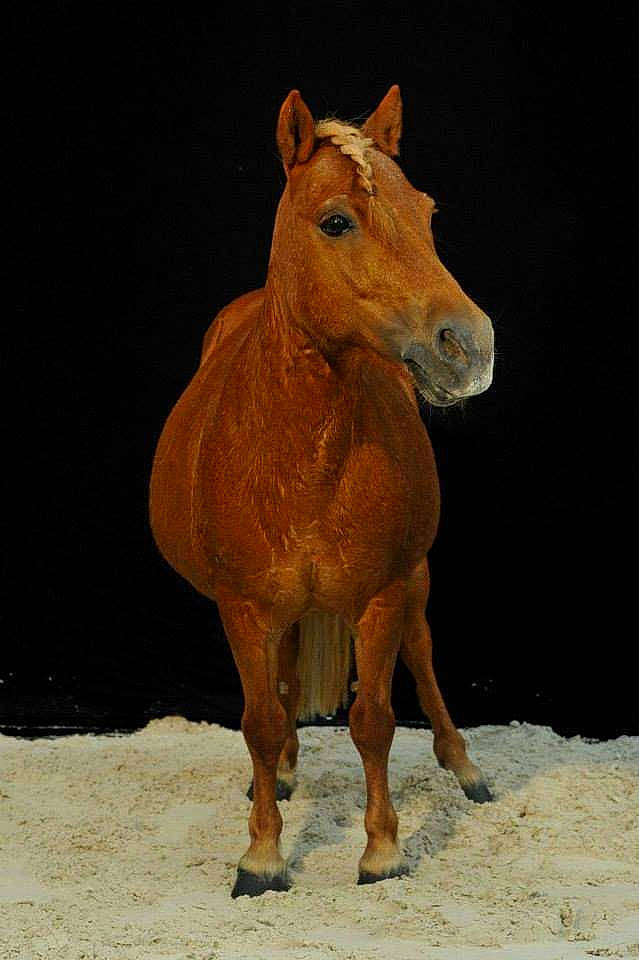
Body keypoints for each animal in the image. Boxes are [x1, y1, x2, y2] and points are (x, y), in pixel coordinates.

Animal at [149, 85, 495, 899]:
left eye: (427, 211)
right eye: (336, 221)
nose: (469, 347)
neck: (303, 458)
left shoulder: (381, 594)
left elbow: (373, 720)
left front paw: (382, 852)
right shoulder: (244, 606)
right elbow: (259, 721)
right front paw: (262, 854)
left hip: (414, 579)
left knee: (421, 650)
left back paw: (463, 766)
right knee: (277, 693)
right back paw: (277, 775)